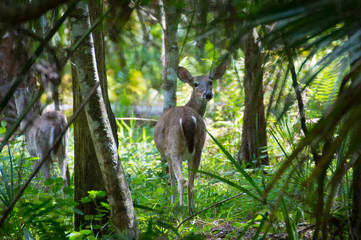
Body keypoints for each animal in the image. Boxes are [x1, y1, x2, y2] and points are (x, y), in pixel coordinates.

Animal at [153, 61, 226, 214]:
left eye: (210, 82)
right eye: (195, 84)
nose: (208, 94)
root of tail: (188, 118)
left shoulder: (167, 155)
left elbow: (172, 180)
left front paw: (172, 204)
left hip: (175, 147)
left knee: (181, 180)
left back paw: (181, 209)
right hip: (199, 146)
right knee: (191, 181)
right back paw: (192, 209)